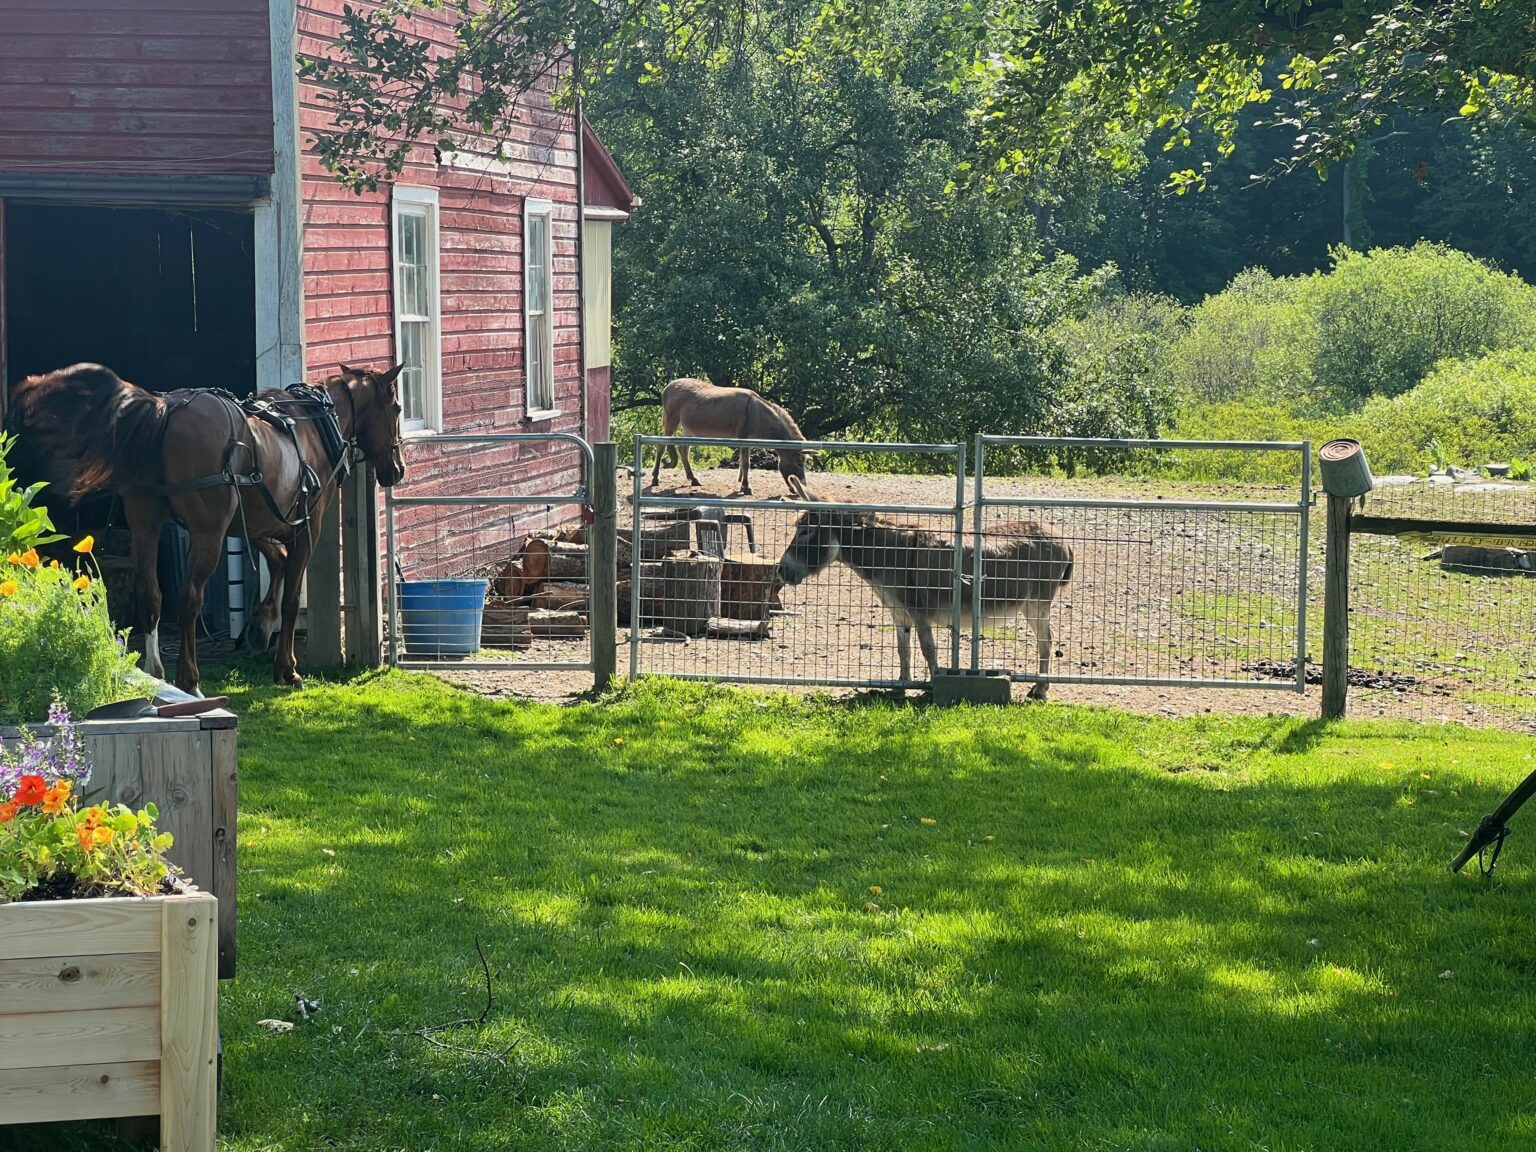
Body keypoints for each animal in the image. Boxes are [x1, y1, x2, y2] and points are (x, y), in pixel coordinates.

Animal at [6, 360, 402, 694]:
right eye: (397, 408)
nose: (396, 470)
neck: (310, 425)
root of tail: (164, 410)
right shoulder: (306, 526)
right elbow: (291, 597)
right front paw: (287, 668)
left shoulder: (254, 524)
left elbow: (277, 562)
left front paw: (260, 625)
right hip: (207, 534)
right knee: (189, 599)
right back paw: (189, 679)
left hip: (146, 526)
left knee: (151, 594)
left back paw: (156, 671)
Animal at [774, 479, 1075, 694]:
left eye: (805, 531)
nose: (780, 570)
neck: (890, 553)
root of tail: (1061, 538)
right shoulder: (898, 612)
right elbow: (903, 649)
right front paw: (901, 685)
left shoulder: (919, 611)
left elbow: (927, 648)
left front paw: (931, 686)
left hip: (1036, 603)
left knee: (1046, 641)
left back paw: (1041, 689)